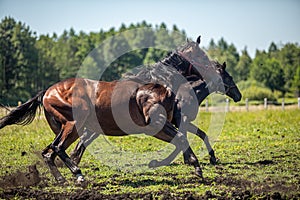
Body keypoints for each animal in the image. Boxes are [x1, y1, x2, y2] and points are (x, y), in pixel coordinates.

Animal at [0, 36, 241, 183]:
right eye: (202, 56)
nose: (237, 95)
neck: (157, 84)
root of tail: (47, 92)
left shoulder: (168, 123)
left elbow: (184, 138)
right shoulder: (156, 125)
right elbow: (182, 138)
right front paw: (196, 166)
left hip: (70, 128)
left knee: (50, 152)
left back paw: (62, 178)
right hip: (73, 124)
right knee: (58, 148)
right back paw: (78, 175)